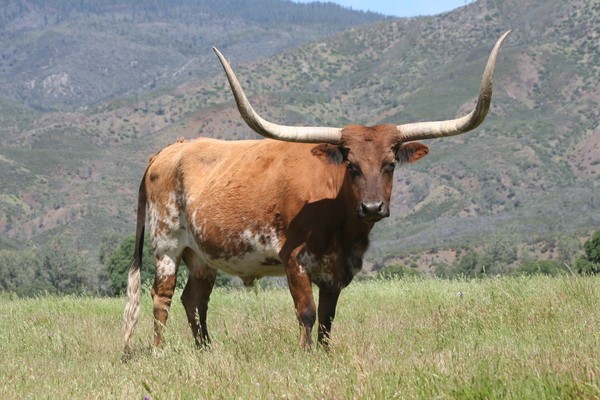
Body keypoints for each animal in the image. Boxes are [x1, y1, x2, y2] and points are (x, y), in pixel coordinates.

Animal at [123, 31, 511, 353]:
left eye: (390, 164)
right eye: (351, 165)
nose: (372, 207)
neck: (341, 222)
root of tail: (169, 150)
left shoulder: (336, 271)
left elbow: (327, 318)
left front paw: (324, 354)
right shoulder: (294, 260)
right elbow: (307, 313)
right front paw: (305, 355)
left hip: (202, 255)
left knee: (194, 299)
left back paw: (206, 351)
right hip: (167, 245)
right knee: (162, 297)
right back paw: (159, 351)